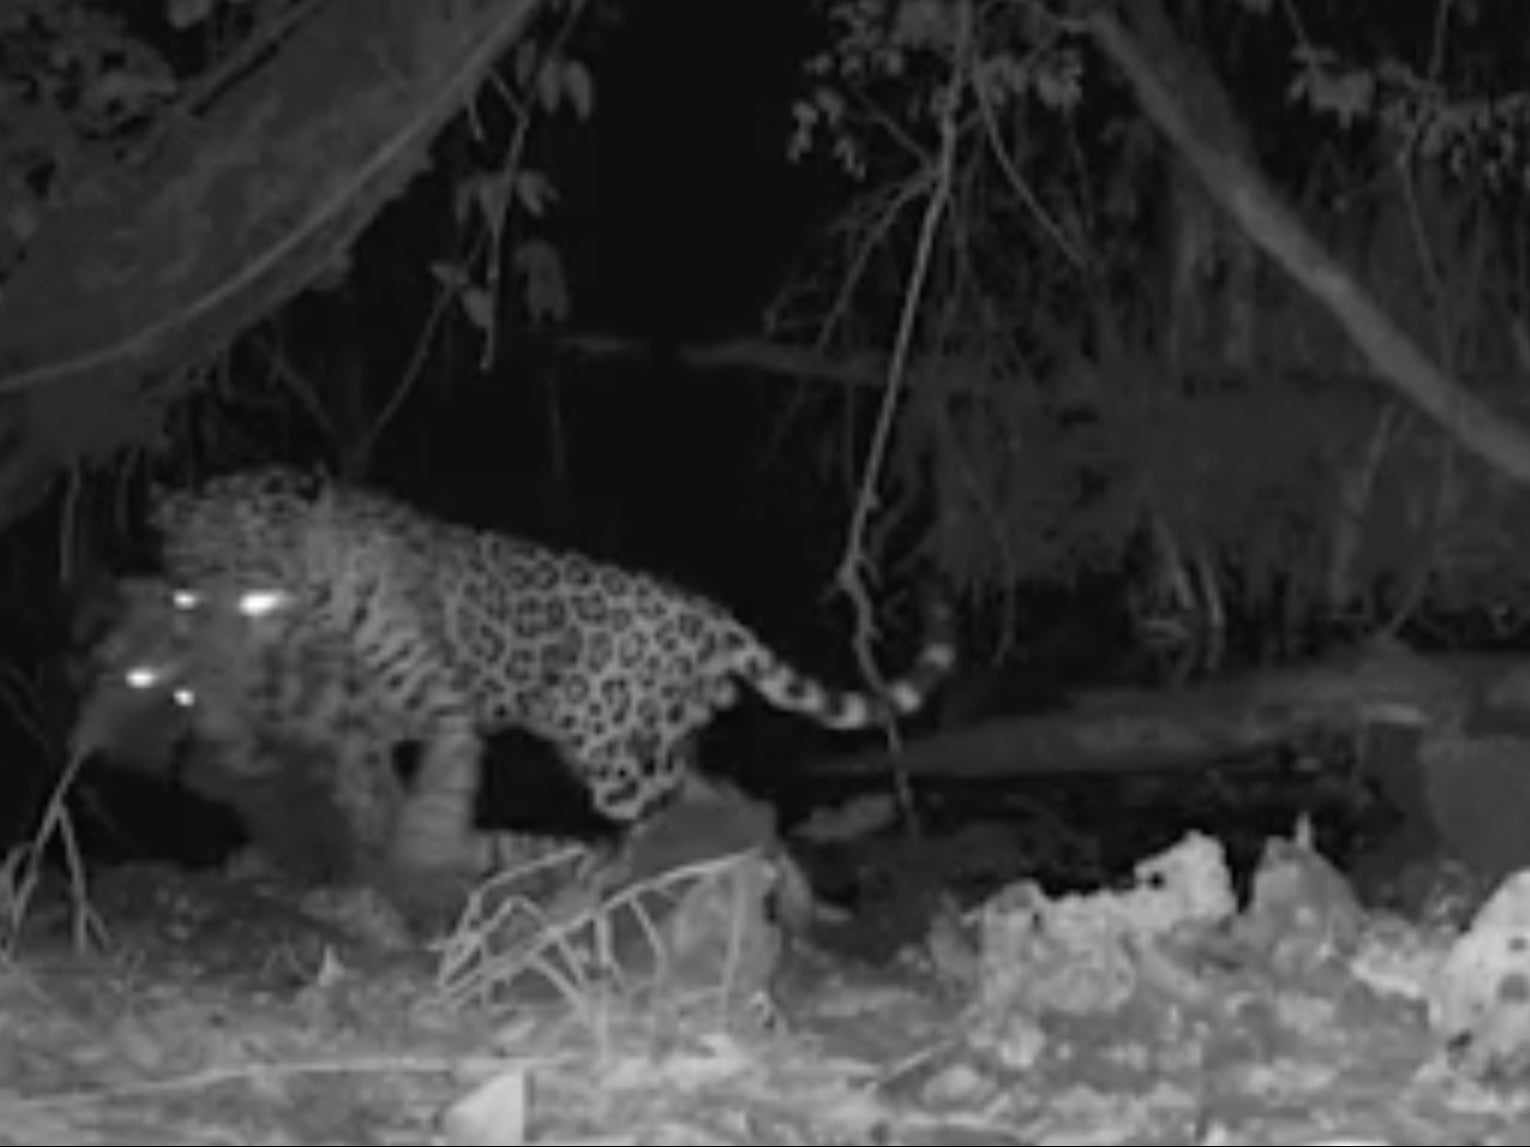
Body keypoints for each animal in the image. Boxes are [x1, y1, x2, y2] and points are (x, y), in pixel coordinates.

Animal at [146, 465, 958, 878]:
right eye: (188, 554)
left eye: (249, 555)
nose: (211, 608)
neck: (322, 589)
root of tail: (712, 616)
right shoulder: (361, 701)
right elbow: (357, 754)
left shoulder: (436, 695)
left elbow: (440, 767)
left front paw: (425, 842)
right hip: (633, 738)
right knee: (709, 791)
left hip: (612, 748)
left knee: (665, 804)